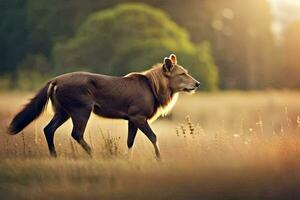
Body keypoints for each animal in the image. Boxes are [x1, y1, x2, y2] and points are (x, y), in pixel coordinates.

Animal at [7, 54, 199, 159]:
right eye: (182, 74)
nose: (197, 83)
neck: (156, 91)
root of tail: (54, 81)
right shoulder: (138, 115)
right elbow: (153, 137)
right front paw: (160, 159)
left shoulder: (131, 118)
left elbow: (130, 142)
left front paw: (127, 159)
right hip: (81, 108)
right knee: (76, 133)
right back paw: (93, 153)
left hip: (62, 110)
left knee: (48, 129)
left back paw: (54, 155)